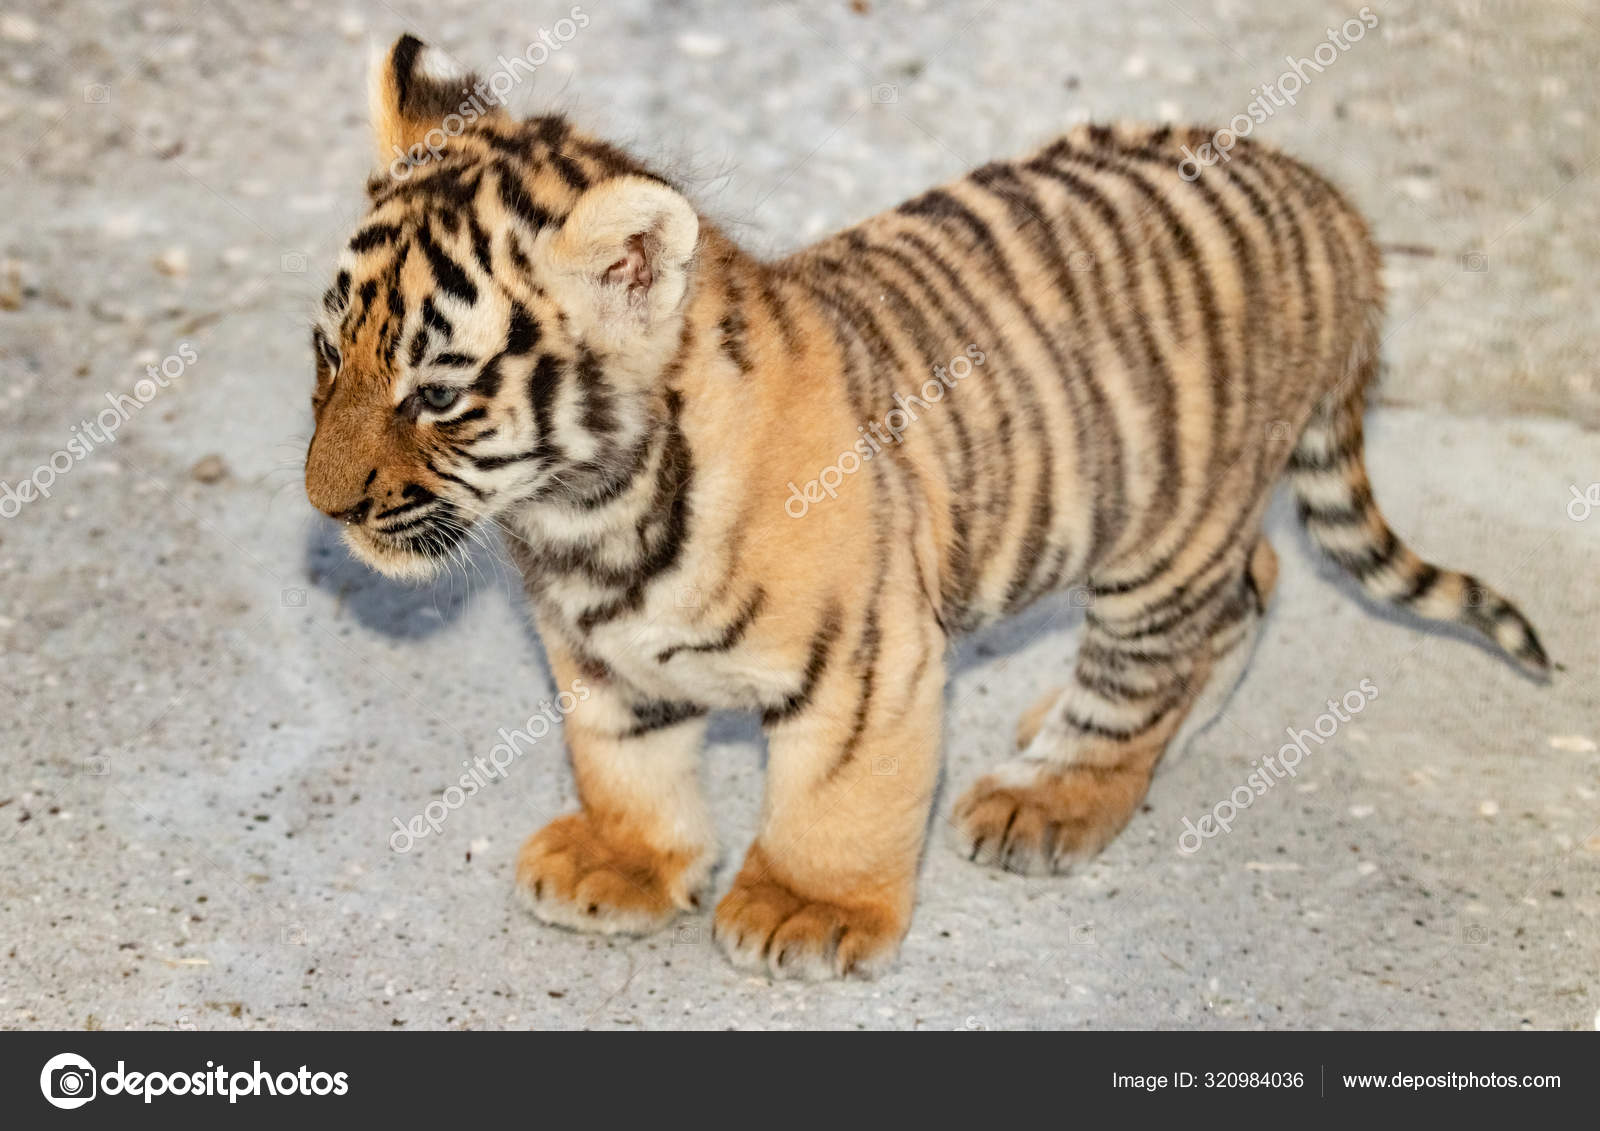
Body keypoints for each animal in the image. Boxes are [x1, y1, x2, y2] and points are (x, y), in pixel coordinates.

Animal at [303, 35, 1549, 980]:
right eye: (328, 356)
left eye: (437, 394)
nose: (325, 508)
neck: (587, 515)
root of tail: (1328, 203)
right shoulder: (596, 659)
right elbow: (622, 761)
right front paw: (624, 865)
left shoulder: (867, 663)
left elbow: (836, 802)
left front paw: (805, 913)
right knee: (1256, 585)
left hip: (1164, 532)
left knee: (1154, 661)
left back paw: (1054, 798)